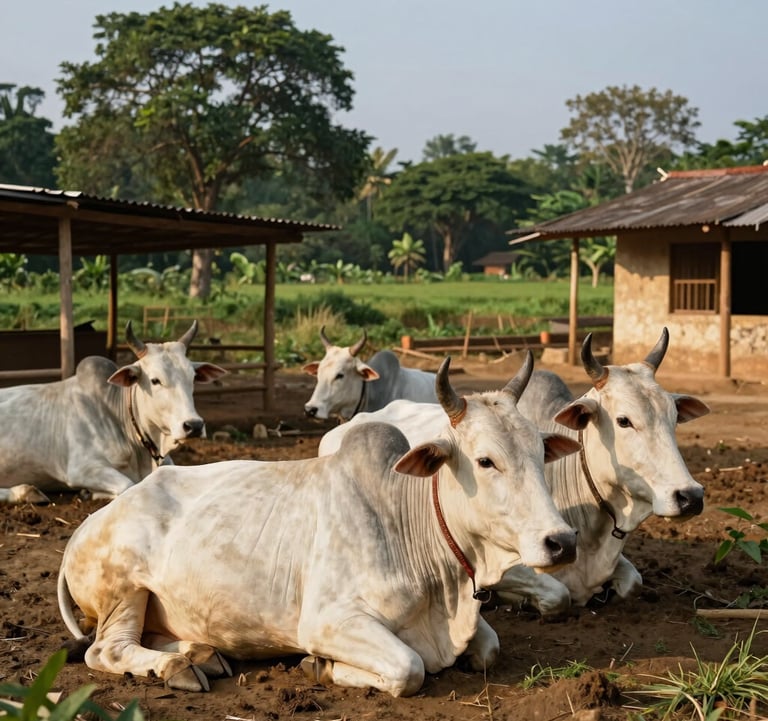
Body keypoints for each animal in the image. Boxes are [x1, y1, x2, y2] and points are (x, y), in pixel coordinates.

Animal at [0, 320, 226, 504]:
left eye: (193, 377)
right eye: (155, 380)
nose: (194, 425)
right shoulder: (82, 468)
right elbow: (128, 487)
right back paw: (24, 491)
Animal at [57, 353, 580, 697]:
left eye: (539, 452)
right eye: (485, 461)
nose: (561, 542)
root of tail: (87, 525)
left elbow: (488, 648)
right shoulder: (331, 620)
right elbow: (408, 668)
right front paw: (321, 667)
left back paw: (203, 652)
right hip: (122, 592)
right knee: (106, 651)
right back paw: (176, 667)